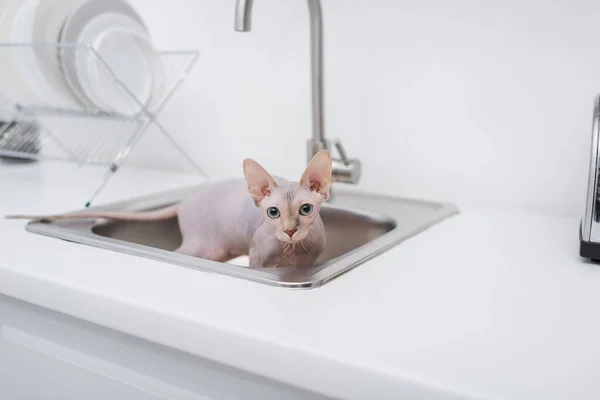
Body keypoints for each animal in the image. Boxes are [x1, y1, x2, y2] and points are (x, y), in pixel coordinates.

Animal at [5, 150, 332, 268]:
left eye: (305, 209)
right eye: (272, 212)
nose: (289, 231)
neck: (292, 251)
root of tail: (184, 201)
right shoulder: (257, 258)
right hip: (204, 247)